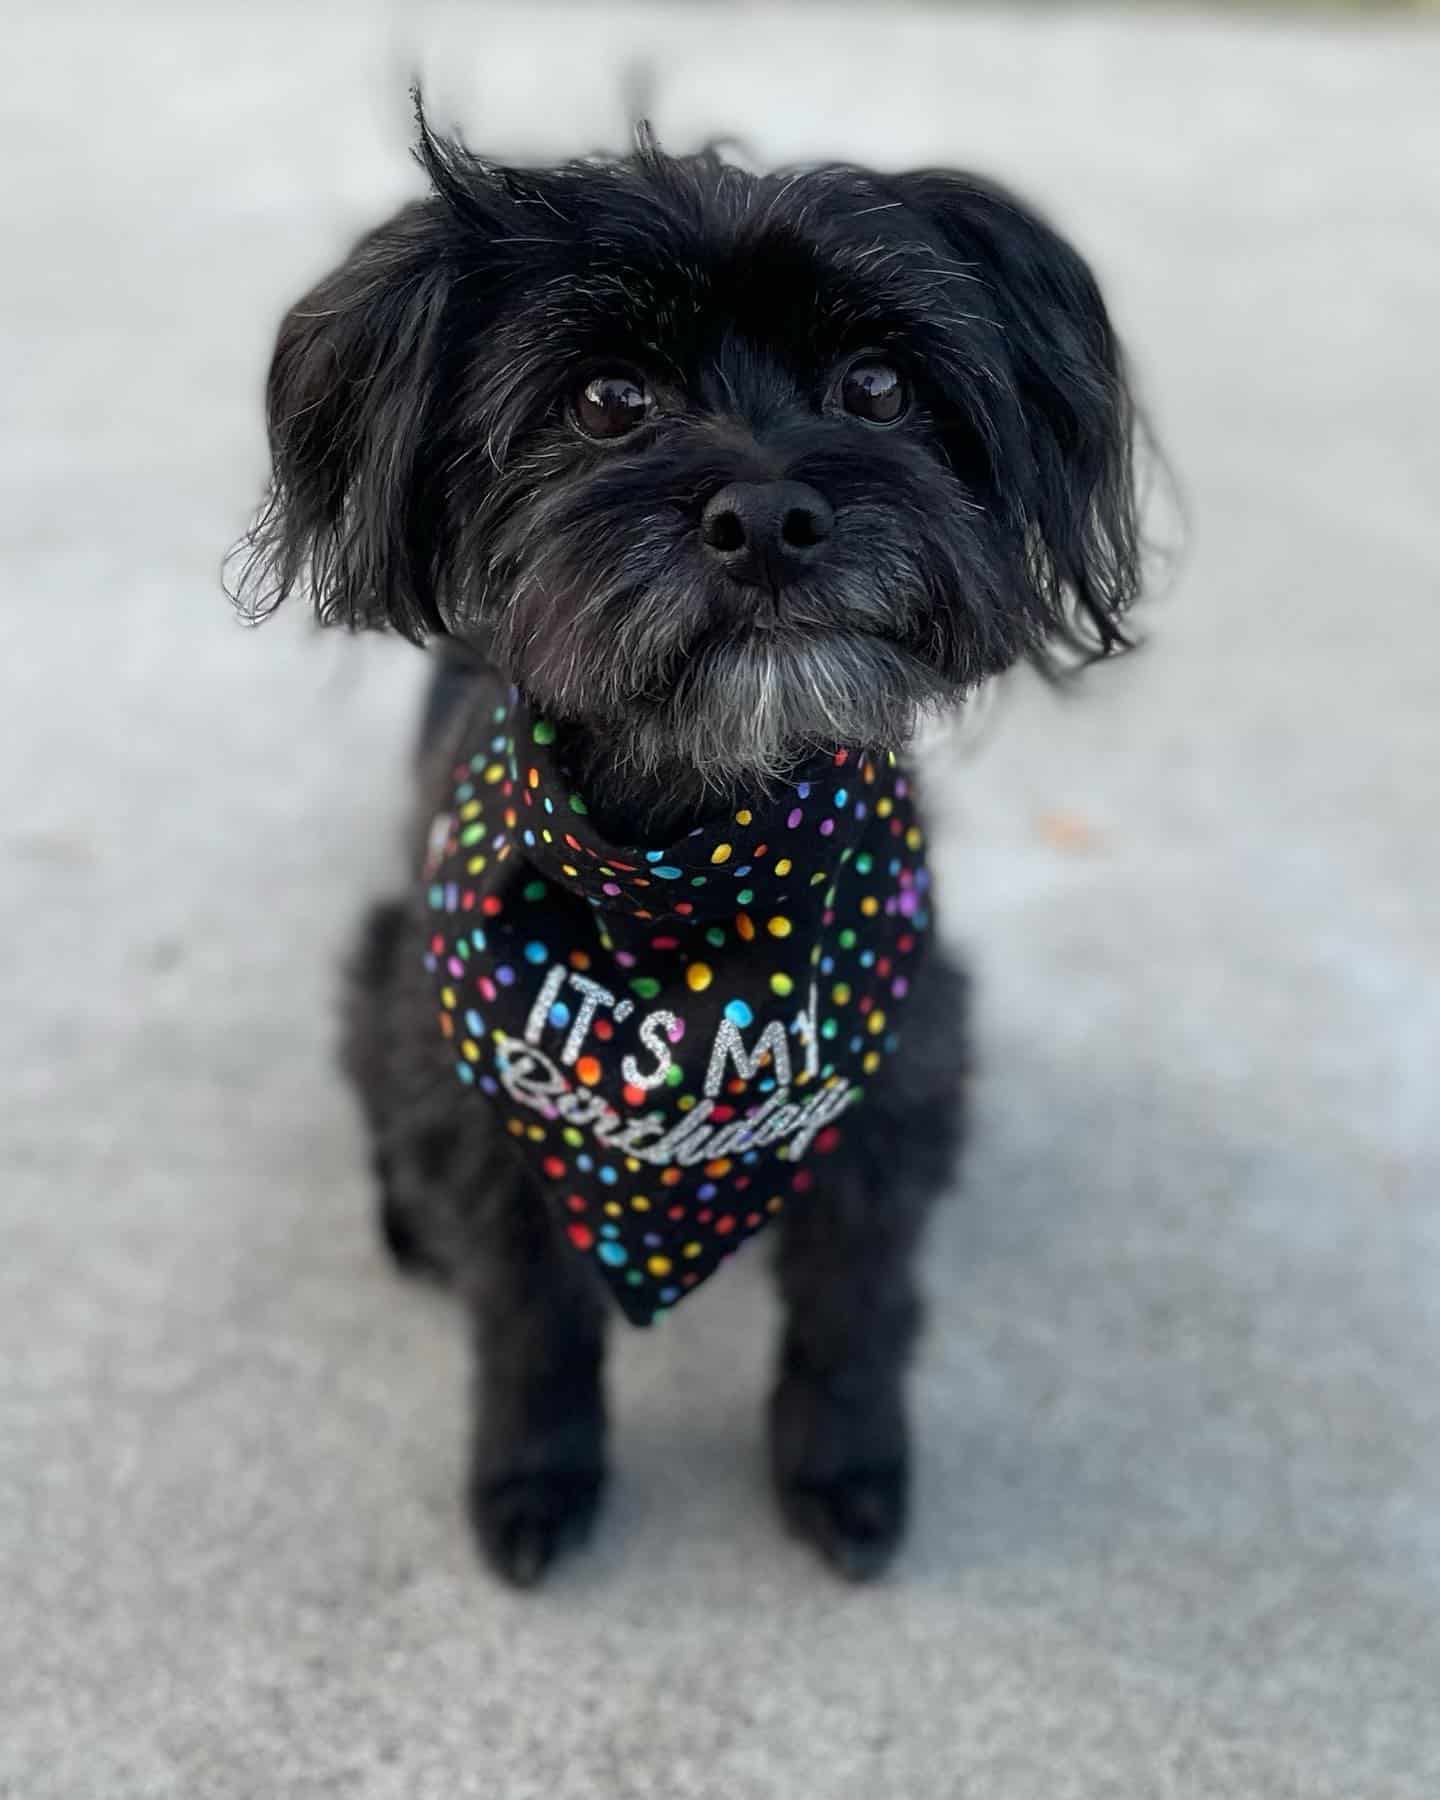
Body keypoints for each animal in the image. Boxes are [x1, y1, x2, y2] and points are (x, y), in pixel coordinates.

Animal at [234, 105, 1137, 1584]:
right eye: (610, 402)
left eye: (878, 387)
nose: (767, 515)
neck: (701, 888)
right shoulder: (491, 1105)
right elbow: (529, 1324)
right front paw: (532, 1476)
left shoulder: (894, 1078)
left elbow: (853, 1314)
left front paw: (844, 1470)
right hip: (388, 972)